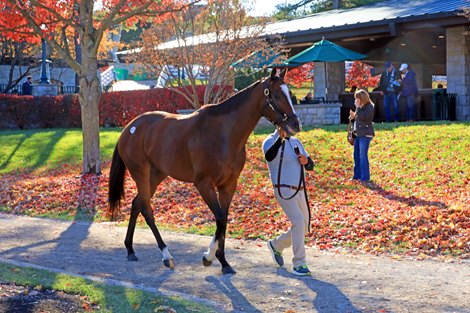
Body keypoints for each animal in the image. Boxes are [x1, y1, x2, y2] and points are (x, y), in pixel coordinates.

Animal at [109, 69, 302, 272]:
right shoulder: (203, 184)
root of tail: (129, 128)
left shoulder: (228, 185)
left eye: (289, 92)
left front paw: (223, 261)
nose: (295, 124)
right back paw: (166, 256)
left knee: (136, 204)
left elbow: (223, 219)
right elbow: (220, 218)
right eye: (277, 94)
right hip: (140, 174)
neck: (224, 134)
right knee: (146, 209)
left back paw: (130, 249)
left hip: (155, 176)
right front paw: (209, 257)